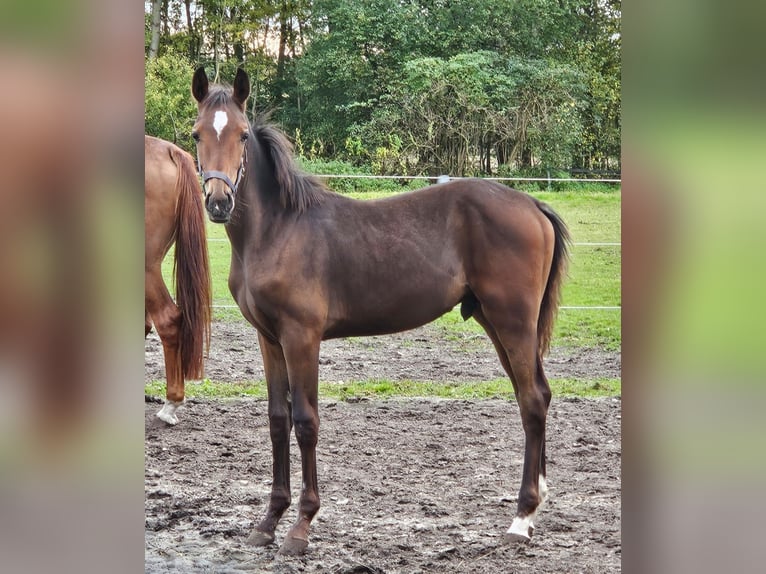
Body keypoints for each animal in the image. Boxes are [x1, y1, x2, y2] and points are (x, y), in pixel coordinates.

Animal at [194, 68, 568, 560]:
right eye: (196, 134)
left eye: (240, 134)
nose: (219, 202)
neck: (278, 229)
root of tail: (531, 205)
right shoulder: (269, 338)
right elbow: (277, 421)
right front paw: (268, 521)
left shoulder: (301, 337)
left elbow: (306, 422)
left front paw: (301, 527)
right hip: (496, 321)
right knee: (537, 394)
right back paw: (536, 503)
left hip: (513, 321)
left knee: (532, 399)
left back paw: (521, 519)